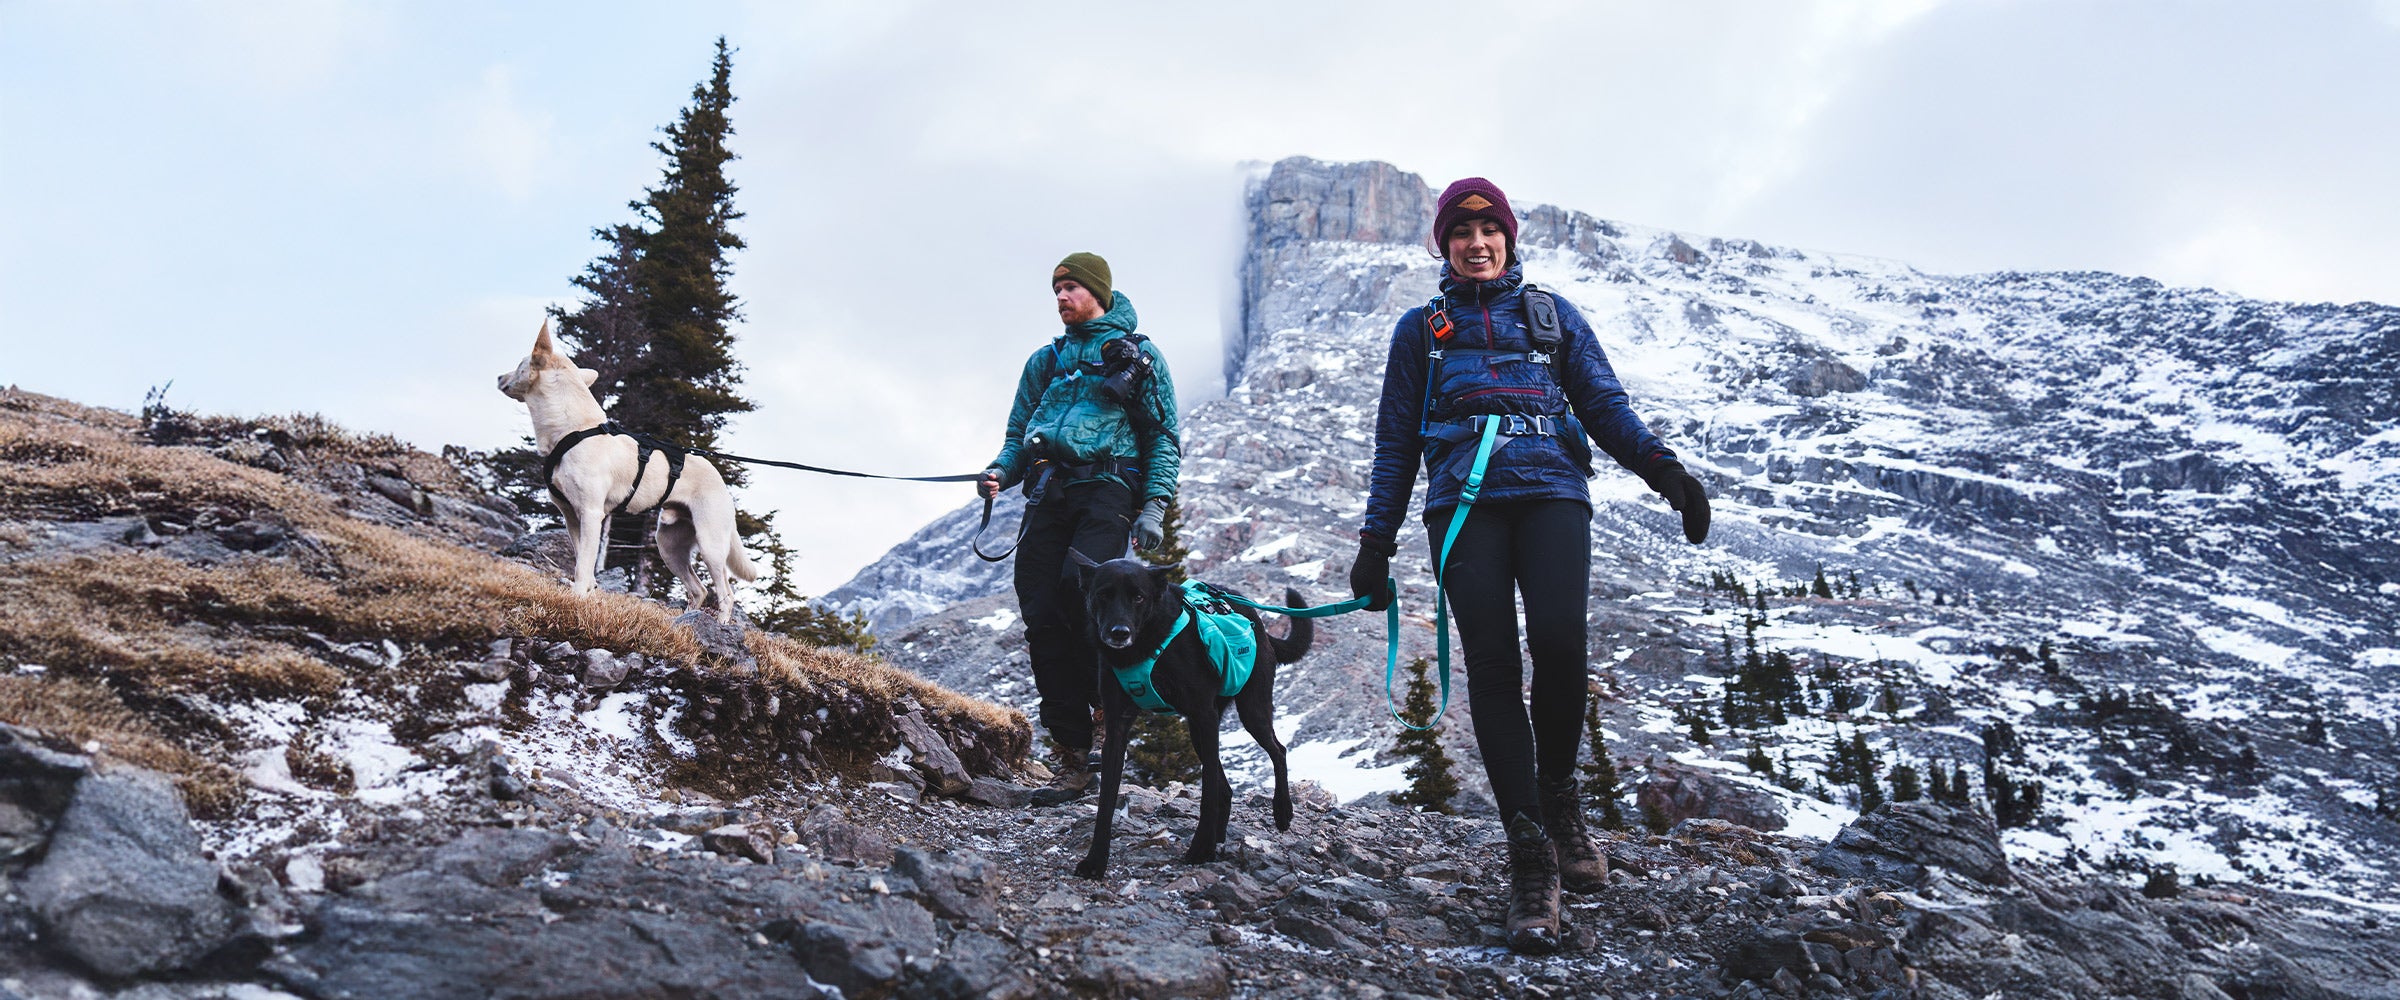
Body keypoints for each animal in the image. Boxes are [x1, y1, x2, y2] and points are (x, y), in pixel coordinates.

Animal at [489, 318, 744, 613]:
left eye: (521, 363)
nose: (498, 377)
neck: (573, 430)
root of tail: (721, 481)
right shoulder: (571, 516)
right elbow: (582, 563)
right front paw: (586, 595)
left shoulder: (591, 514)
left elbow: (583, 566)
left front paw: (577, 601)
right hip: (669, 545)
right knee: (699, 589)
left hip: (710, 544)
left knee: (726, 594)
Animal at [1075, 556, 1324, 877]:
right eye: (1103, 594)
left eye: (1138, 597)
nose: (1119, 633)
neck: (1146, 643)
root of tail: (1256, 620)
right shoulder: (1117, 726)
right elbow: (1106, 800)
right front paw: (1095, 860)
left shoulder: (1204, 715)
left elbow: (1207, 795)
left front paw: (1200, 849)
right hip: (1198, 731)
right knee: (1226, 788)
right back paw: (1219, 837)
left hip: (1250, 710)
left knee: (1277, 751)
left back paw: (1281, 811)